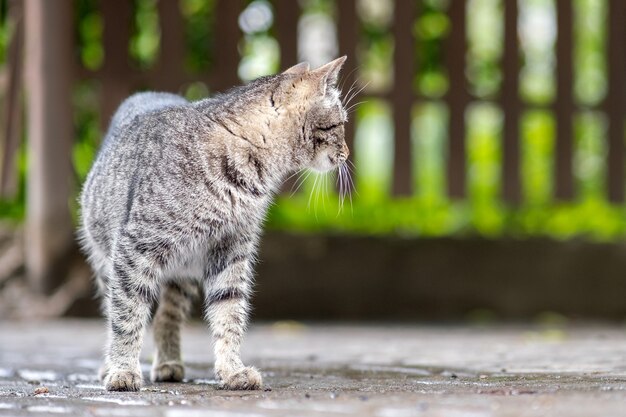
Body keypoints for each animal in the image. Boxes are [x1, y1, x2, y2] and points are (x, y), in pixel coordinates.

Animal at [78, 57, 348, 392]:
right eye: (339, 124)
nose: (347, 153)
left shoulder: (231, 252)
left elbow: (229, 313)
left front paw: (232, 370)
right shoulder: (134, 248)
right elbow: (126, 316)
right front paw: (123, 370)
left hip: (180, 275)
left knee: (166, 317)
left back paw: (168, 363)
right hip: (106, 262)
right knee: (113, 309)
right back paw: (110, 365)